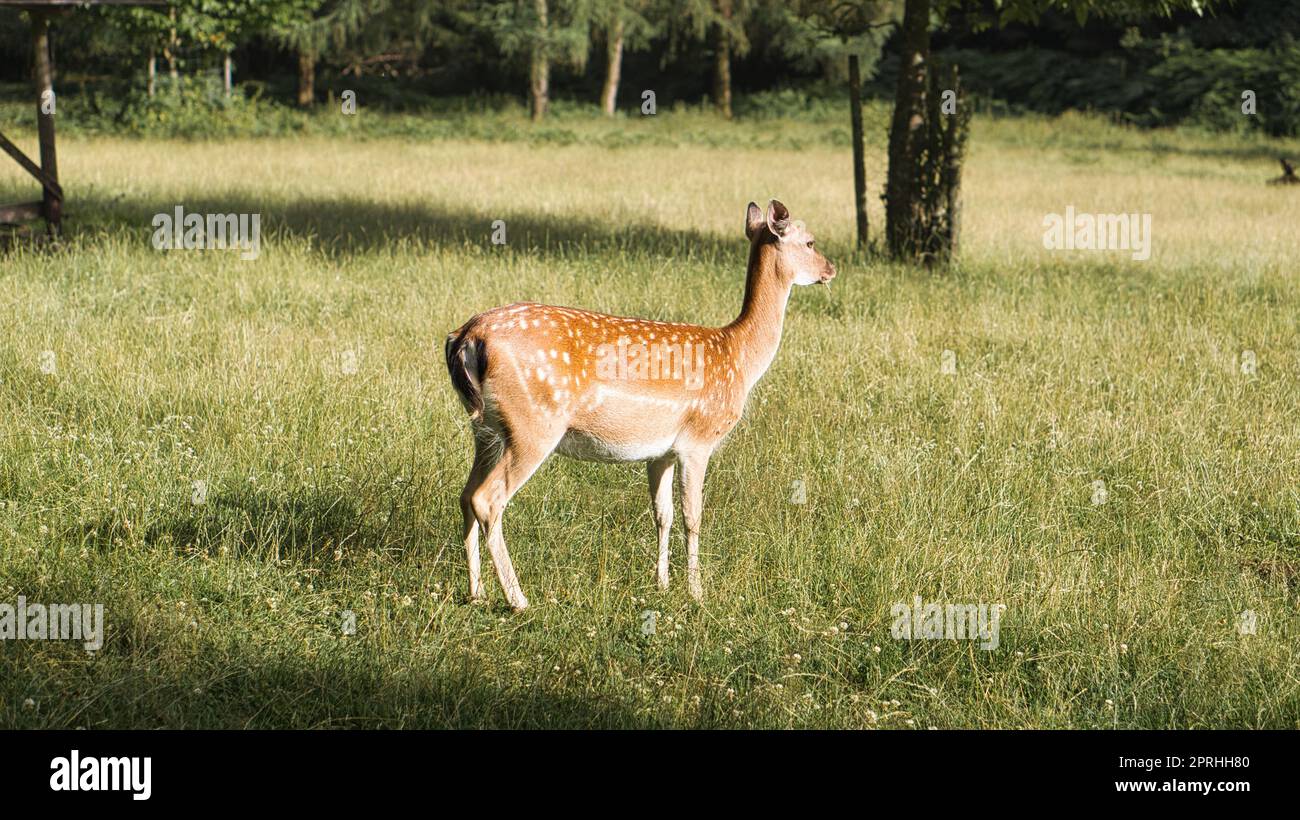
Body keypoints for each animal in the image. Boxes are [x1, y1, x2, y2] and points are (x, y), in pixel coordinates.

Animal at [444, 198, 832, 610]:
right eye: (810, 242)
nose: (830, 269)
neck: (738, 355)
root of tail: (465, 337)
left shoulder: (660, 451)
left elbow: (662, 514)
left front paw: (661, 584)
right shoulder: (698, 440)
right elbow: (693, 516)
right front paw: (696, 592)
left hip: (484, 428)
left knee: (465, 495)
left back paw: (477, 592)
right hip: (532, 424)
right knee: (488, 499)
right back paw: (518, 599)